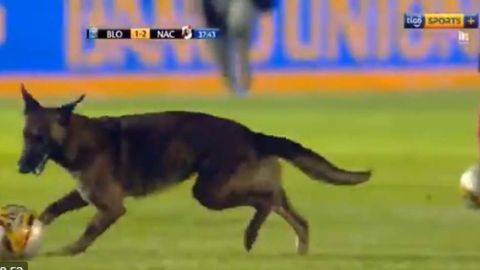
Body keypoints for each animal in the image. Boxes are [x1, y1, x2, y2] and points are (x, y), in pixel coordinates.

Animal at [16, 85, 372, 256]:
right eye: (25, 135)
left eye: (40, 138)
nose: (20, 166)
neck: (78, 138)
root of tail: (251, 134)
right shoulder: (85, 194)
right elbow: (51, 208)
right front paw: (32, 231)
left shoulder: (111, 206)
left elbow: (86, 235)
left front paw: (65, 252)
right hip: (229, 188)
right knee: (286, 208)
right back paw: (293, 248)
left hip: (209, 191)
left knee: (265, 200)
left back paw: (251, 234)